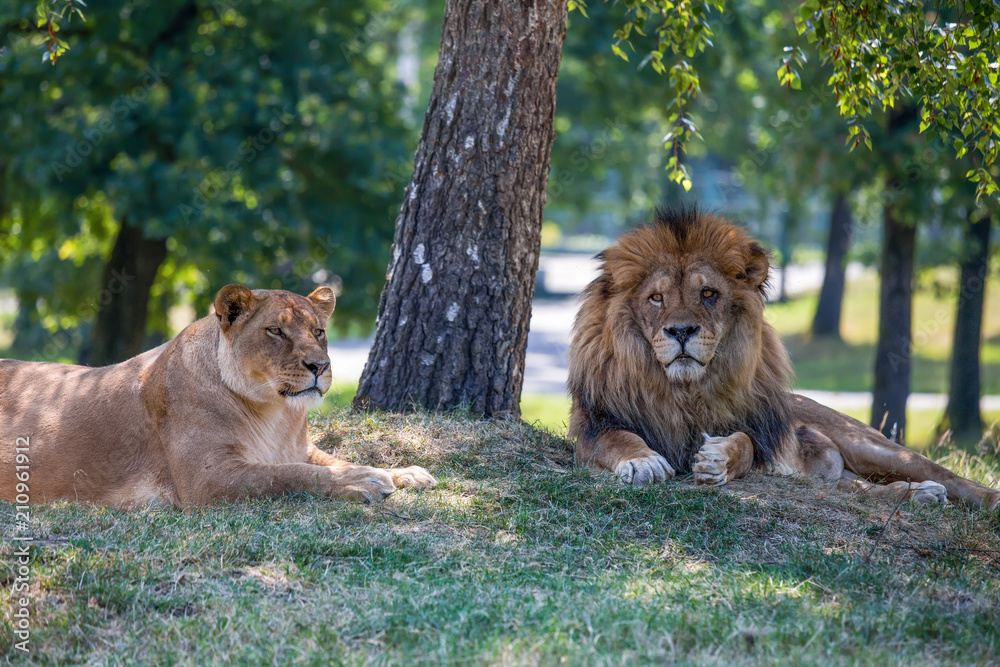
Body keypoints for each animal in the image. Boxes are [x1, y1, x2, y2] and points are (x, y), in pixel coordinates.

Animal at [0, 284, 436, 507]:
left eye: (319, 332)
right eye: (275, 331)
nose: (320, 366)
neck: (275, 412)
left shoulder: (300, 448)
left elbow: (331, 460)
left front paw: (406, 472)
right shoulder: (208, 479)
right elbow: (290, 476)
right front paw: (366, 480)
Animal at [568, 208, 1000, 510]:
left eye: (708, 294)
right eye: (656, 298)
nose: (681, 331)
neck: (685, 391)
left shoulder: (761, 437)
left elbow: (743, 444)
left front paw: (717, 459)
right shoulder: (593, 424)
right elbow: (618, 439)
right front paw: (644, 462)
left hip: (873, 445)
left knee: (949, 477)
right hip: (833, 480)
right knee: (863, 492)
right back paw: (921, 496)